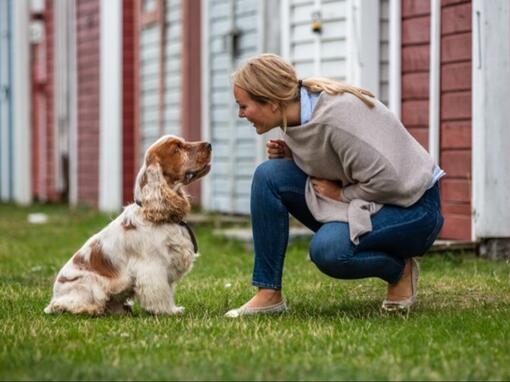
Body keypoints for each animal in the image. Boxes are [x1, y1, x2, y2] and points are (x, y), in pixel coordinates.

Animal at [43, 136, 211, 314]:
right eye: (177, 148)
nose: (209, 144)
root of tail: (55, 295)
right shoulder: (153, 266)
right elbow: (161, 293)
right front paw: (168, 311)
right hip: (88, 284)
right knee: (64, 305)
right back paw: (92, 309)